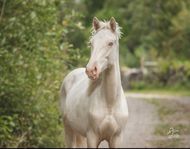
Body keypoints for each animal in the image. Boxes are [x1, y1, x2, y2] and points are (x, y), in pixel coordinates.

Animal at [60, 17, 129, 148]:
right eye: (91, 43)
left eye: (110, 43)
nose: (91, 70)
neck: (110, 104)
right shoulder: (92, 137)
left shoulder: (117, 138)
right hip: (68, 130)